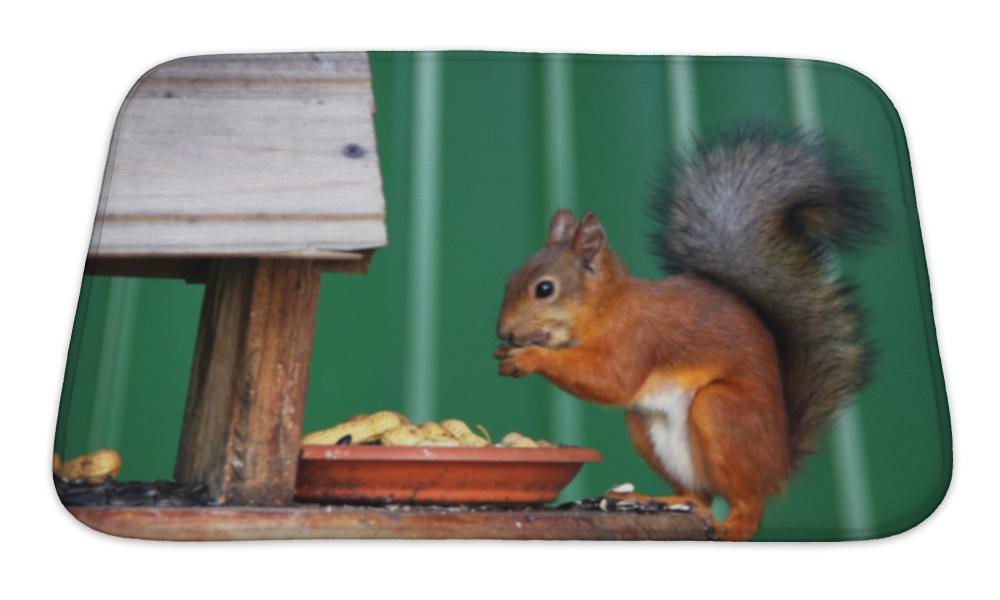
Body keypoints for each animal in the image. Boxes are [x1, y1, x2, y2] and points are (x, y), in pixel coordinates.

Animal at [494, 126, 884, 541]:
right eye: (510, 279)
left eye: (544, 289)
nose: (503, 331)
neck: (606, 306)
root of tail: (778, 464)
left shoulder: (638, 337)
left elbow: (611, 381)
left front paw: (529, 357)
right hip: (648, 431)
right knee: (699, 495)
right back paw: (658, 500)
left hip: (722, 413)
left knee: (748, 502)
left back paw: (733, 526)